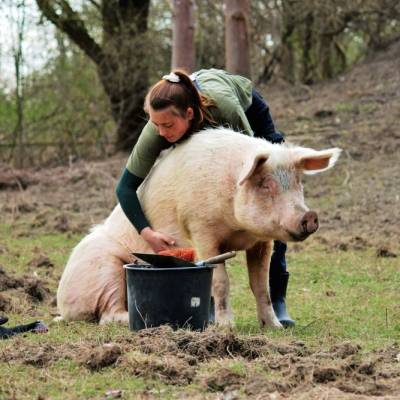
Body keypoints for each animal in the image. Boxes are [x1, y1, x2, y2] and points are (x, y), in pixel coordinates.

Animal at [57, 128, 340, 328]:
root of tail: (62, 305)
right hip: (105, 271)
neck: (237, 227)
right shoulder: (201, 230)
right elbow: (221, 282)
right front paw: (227, 327)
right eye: (265, 184)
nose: (309, 216)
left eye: (298, 182)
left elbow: (262, 286)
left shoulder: (262, 242)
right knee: (107, 315)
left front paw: (274, 327)